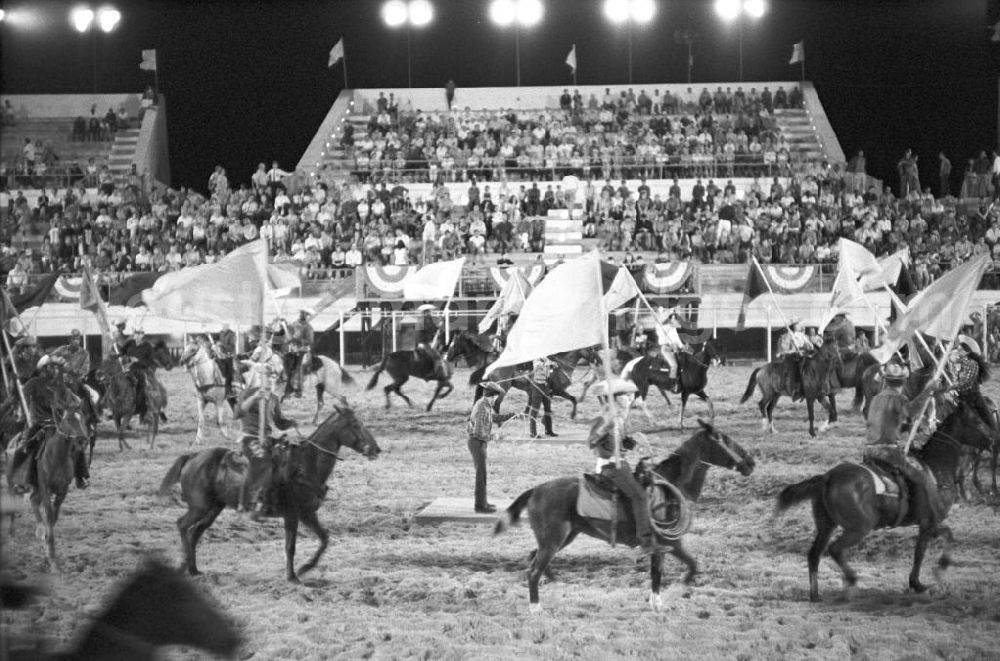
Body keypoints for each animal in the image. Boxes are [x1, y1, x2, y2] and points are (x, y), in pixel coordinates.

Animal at [158, 404, 380, 580]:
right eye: (354, 424)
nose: (376, 449)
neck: (305, 464)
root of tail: (193, 456)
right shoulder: (292, 515)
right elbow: (290, 547)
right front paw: (292, 576)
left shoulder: (308, 514)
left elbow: (324, 539)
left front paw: (305, 568)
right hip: (199, 506)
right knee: (182, 525)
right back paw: (184, 565)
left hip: (214, 508)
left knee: (195, 532)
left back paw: (193, 568)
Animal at [492, 422, 752, 612]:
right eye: (724, 440)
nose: (751, 463)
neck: (672, 487)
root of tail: (536, 489)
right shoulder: (671, 543)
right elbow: (691, 566)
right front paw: (676, 591)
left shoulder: (662, 547)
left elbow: (657, 574)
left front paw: (656, 603)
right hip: (554, 539)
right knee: (534, 570)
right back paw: (536, 608)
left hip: (563, 537)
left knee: (534, 558)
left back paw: (552, 585)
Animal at [772, 400, 992, 600]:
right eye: (976, 420)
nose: (991, 440)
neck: (935, 468)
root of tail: (828, 477)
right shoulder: (929, 522)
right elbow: (929, 547)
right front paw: (927, 577)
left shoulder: (927, 523)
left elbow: (934, 542)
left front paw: (923, 579)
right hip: (859, 528)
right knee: (835, 549)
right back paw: (851, 581)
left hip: (826, 525)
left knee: (814, 554)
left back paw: (815, 594)